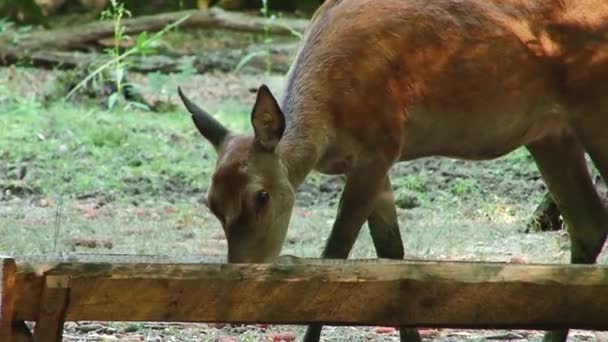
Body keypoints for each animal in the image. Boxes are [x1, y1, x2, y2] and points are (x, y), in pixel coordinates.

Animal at [178, 0, 608, 342]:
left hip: (593, 109)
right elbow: (391, 254)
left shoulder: (381, 142)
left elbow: (335, 254)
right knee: (589, 223)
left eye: (261, 195)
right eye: (210, 203)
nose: (239, 287)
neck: (329, 124)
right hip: (550, 134)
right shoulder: (373, 160)